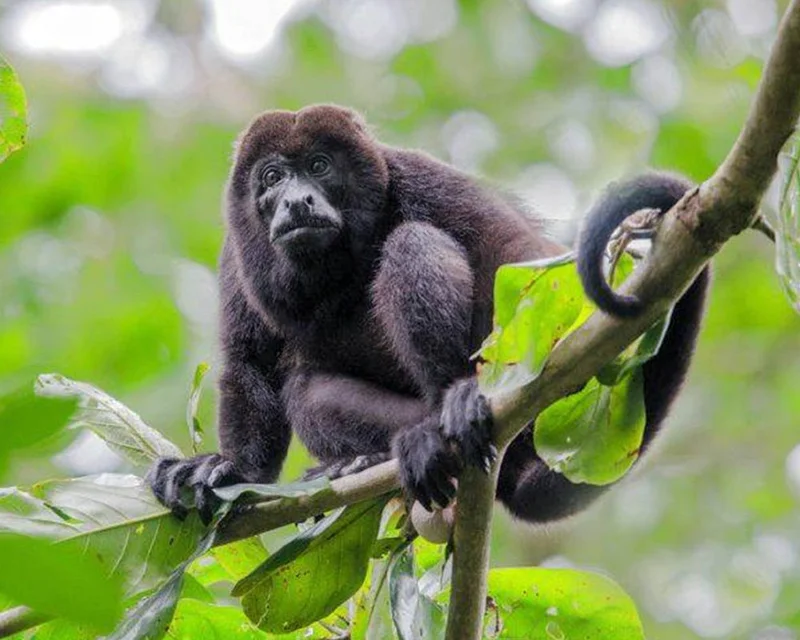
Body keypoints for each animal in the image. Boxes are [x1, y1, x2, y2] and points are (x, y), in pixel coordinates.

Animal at [148, 105, 708, 524]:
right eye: (273, 176)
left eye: (320, 166)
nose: (297, 201)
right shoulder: (236, 251)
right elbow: (251, 363)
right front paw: (229, 471)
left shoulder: (418, 176)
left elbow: (512, 252)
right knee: (306, 390)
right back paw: (378, 455)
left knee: (413, 243)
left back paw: (452, 404)